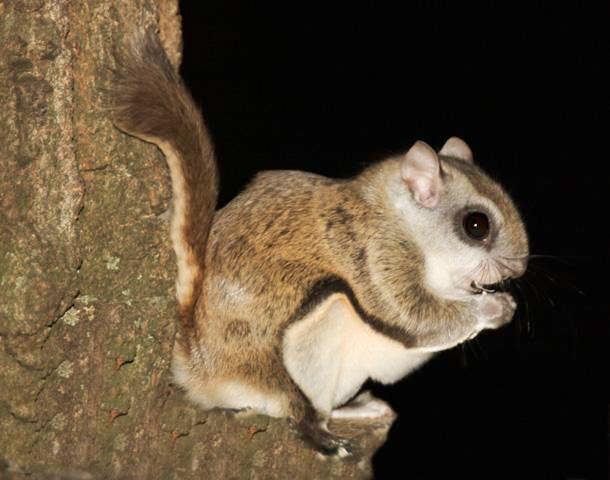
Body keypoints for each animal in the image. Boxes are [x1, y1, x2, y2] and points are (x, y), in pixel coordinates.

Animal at [109, 31, 528, 458]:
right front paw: (494, 308)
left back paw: (357, 409)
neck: (401, 220)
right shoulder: (372, 254)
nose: (518, 268)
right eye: (476, 225)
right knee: (293, 407)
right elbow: (414, 315)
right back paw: (320, 434)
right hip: (304, 339)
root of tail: (197, 365)